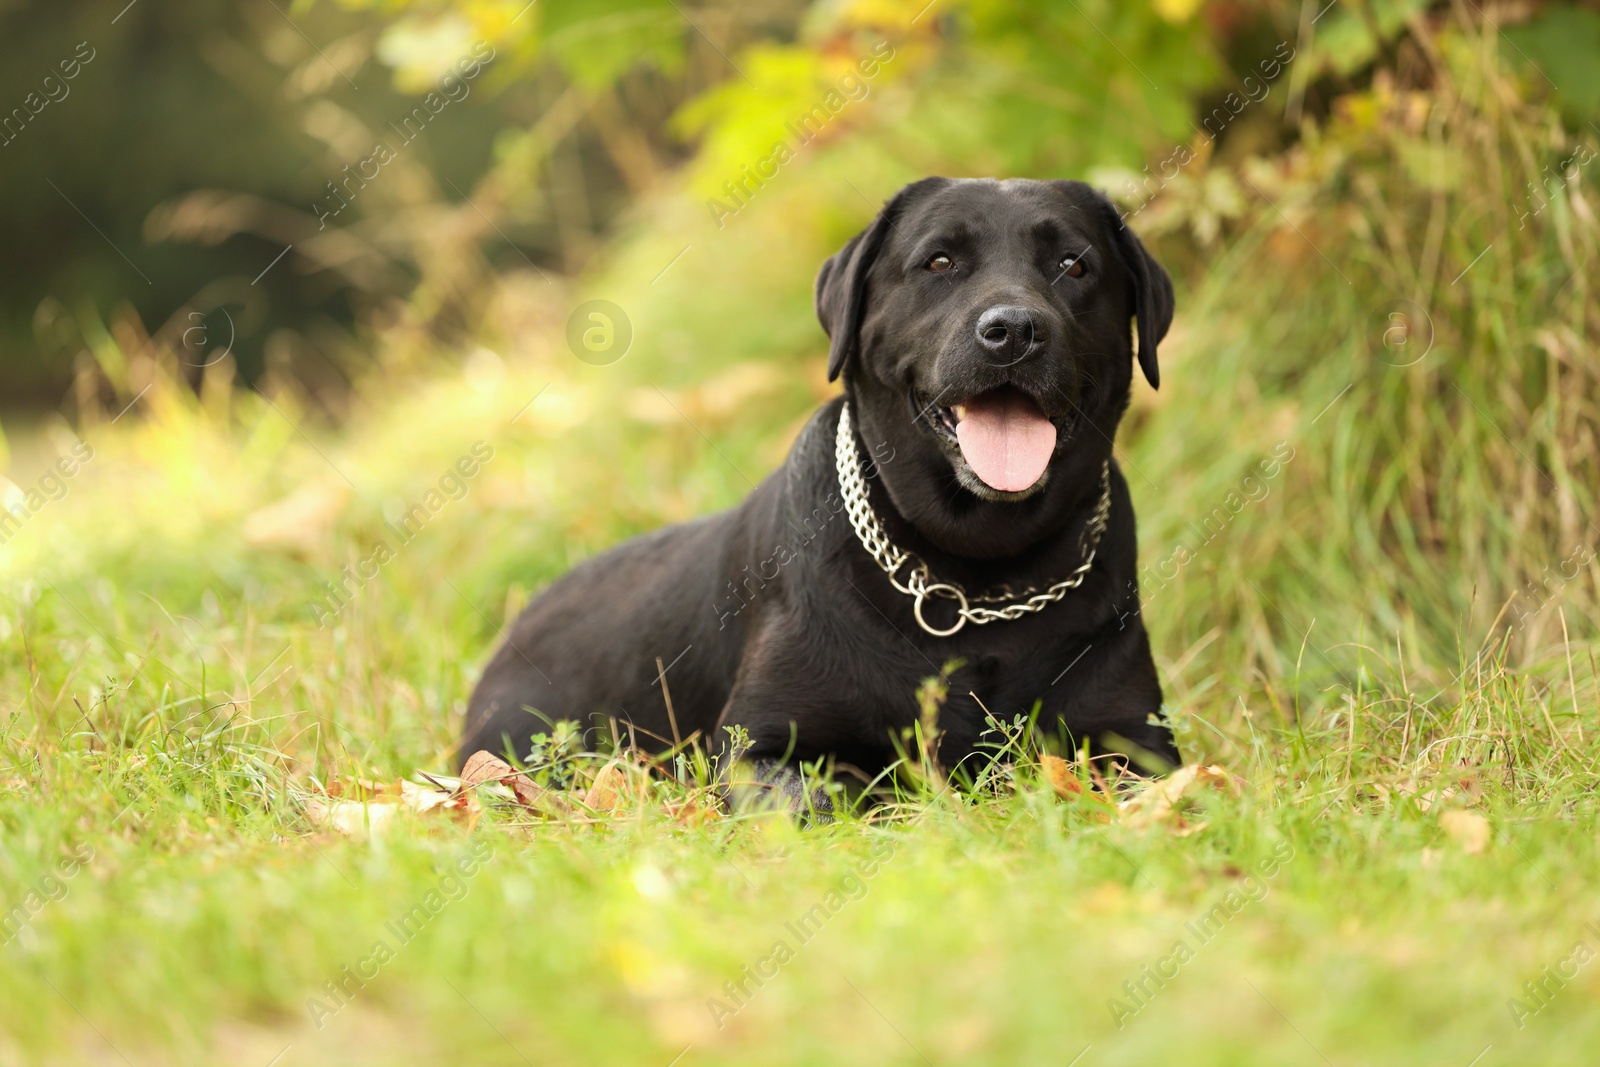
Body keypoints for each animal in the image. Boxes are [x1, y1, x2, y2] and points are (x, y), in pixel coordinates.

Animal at [460, 175, 1177, 796]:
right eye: (940, 261)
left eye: (1073, 266)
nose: (1015, 331)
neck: (978, 576)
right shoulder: (759, 744)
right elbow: (816, 796)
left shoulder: (1135, 738)